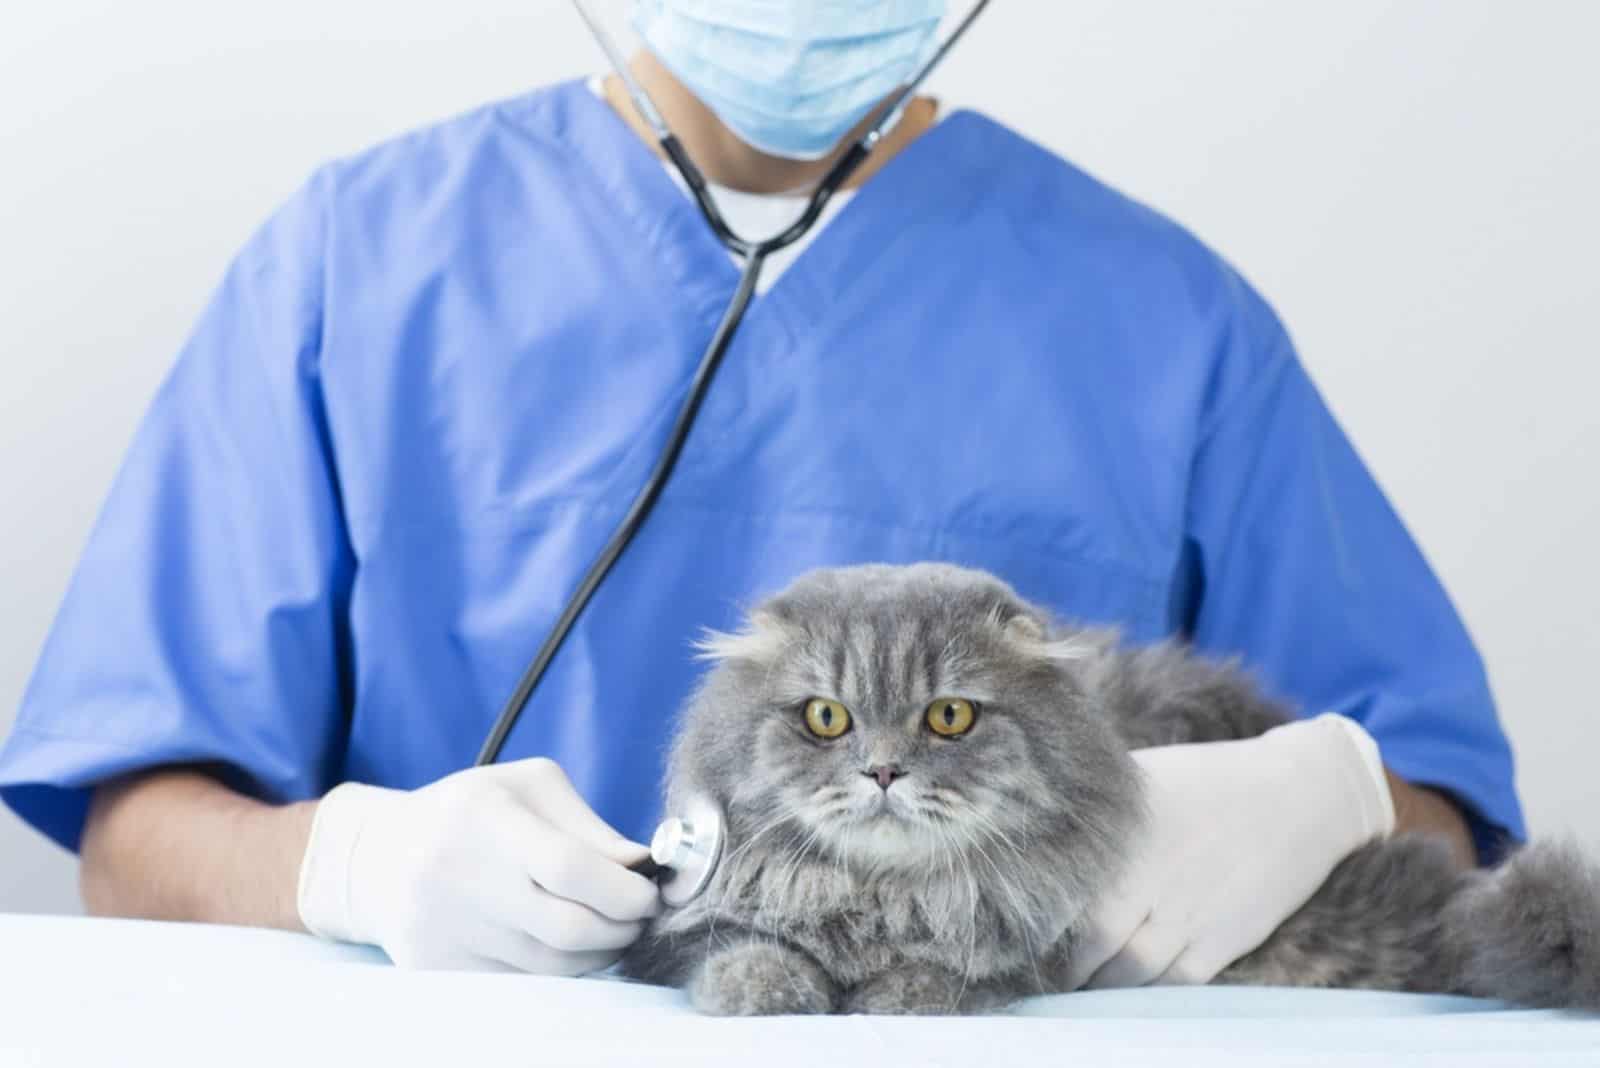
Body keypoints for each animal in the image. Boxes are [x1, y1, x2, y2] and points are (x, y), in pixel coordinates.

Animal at [620, 562, 1600, 1016]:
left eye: (948, 717)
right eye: (827, 718)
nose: (884, 770)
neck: (883, 900)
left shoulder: (1024, 950)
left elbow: (941, 974)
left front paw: (893, 995)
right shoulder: (688, 926)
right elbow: (741, 953)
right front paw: (771, 988)